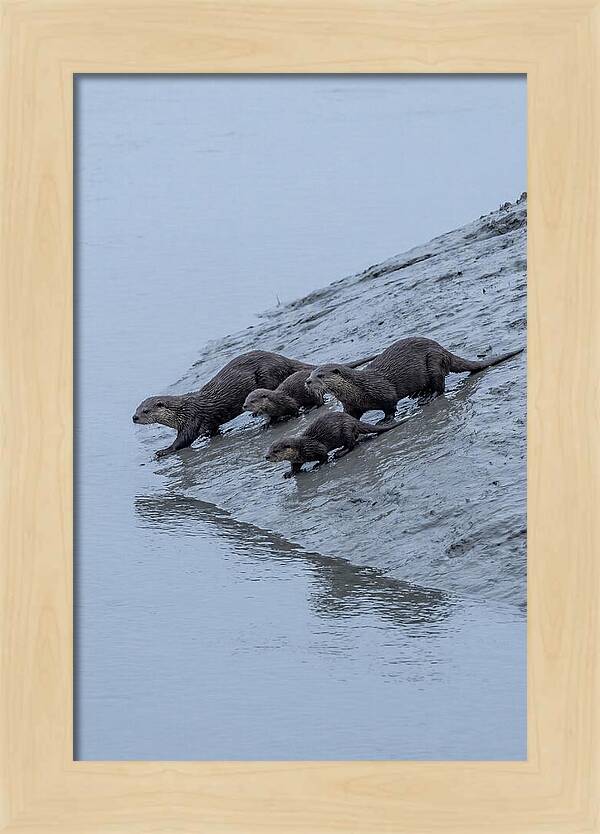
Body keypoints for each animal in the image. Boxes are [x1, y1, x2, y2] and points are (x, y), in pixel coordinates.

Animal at [242, 354, 378, 423]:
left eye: (252, 401)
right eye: (245, 400)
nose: (244, 406)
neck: (275, 403)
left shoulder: (288, 401)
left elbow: (294, 408)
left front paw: (296, 415)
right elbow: (272, 417)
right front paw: (268, 422)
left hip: (314, 393)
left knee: (320, 402)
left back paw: (310, 408)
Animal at [265, 411, 399, 478]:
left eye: (275, 451)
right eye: (269, 449)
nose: (266, 457)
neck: (302, 448)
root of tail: (352, 420)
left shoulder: (316, 447)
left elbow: (324, 455)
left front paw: (318, 465)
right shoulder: (297, 460)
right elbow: (295, 467)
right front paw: (289, 473)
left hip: (345, 430)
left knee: (352, 444)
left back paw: (340, 452)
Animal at [306, 337, 524, 421]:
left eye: (320, 375)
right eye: (310, 374)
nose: (307, 382)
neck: (358, 389)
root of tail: (443, 350)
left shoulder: (383, 391)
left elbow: (390, 405)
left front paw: (385, 420)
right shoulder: (352, 406)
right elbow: (351, 417)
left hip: (433, 361)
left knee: (440, 385)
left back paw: (428, 397)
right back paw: (420, 394)